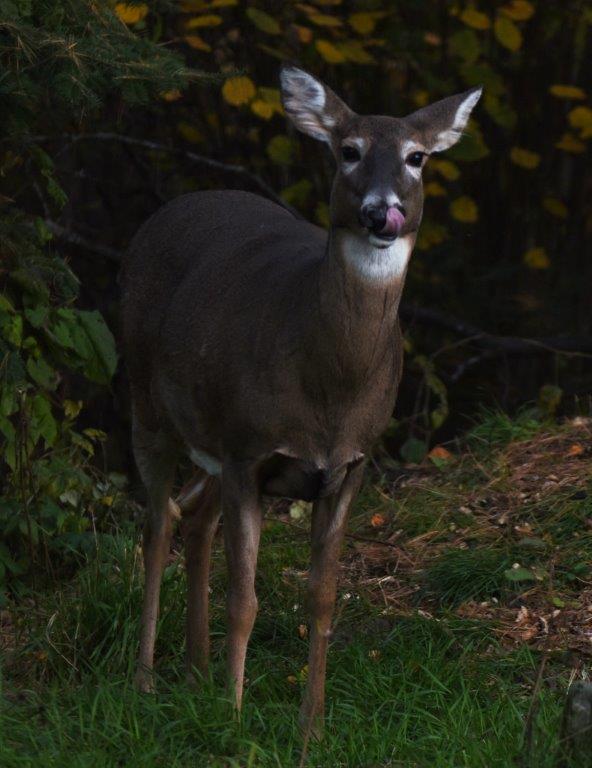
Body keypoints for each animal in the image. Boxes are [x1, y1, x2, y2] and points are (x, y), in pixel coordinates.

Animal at [120, 65, 481, 733]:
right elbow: (244, 598)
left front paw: (310, 726)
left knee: (194, 517)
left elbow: (323, 597)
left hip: (210, 433)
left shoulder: (350, 466)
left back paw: (197, 672)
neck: (328, 393)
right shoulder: (249, 451)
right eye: (349, 151)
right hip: (144, 395)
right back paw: (146, 680)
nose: (382, 213)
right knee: (158, 523)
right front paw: (234, 720)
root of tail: (170, 208)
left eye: (417, 157)